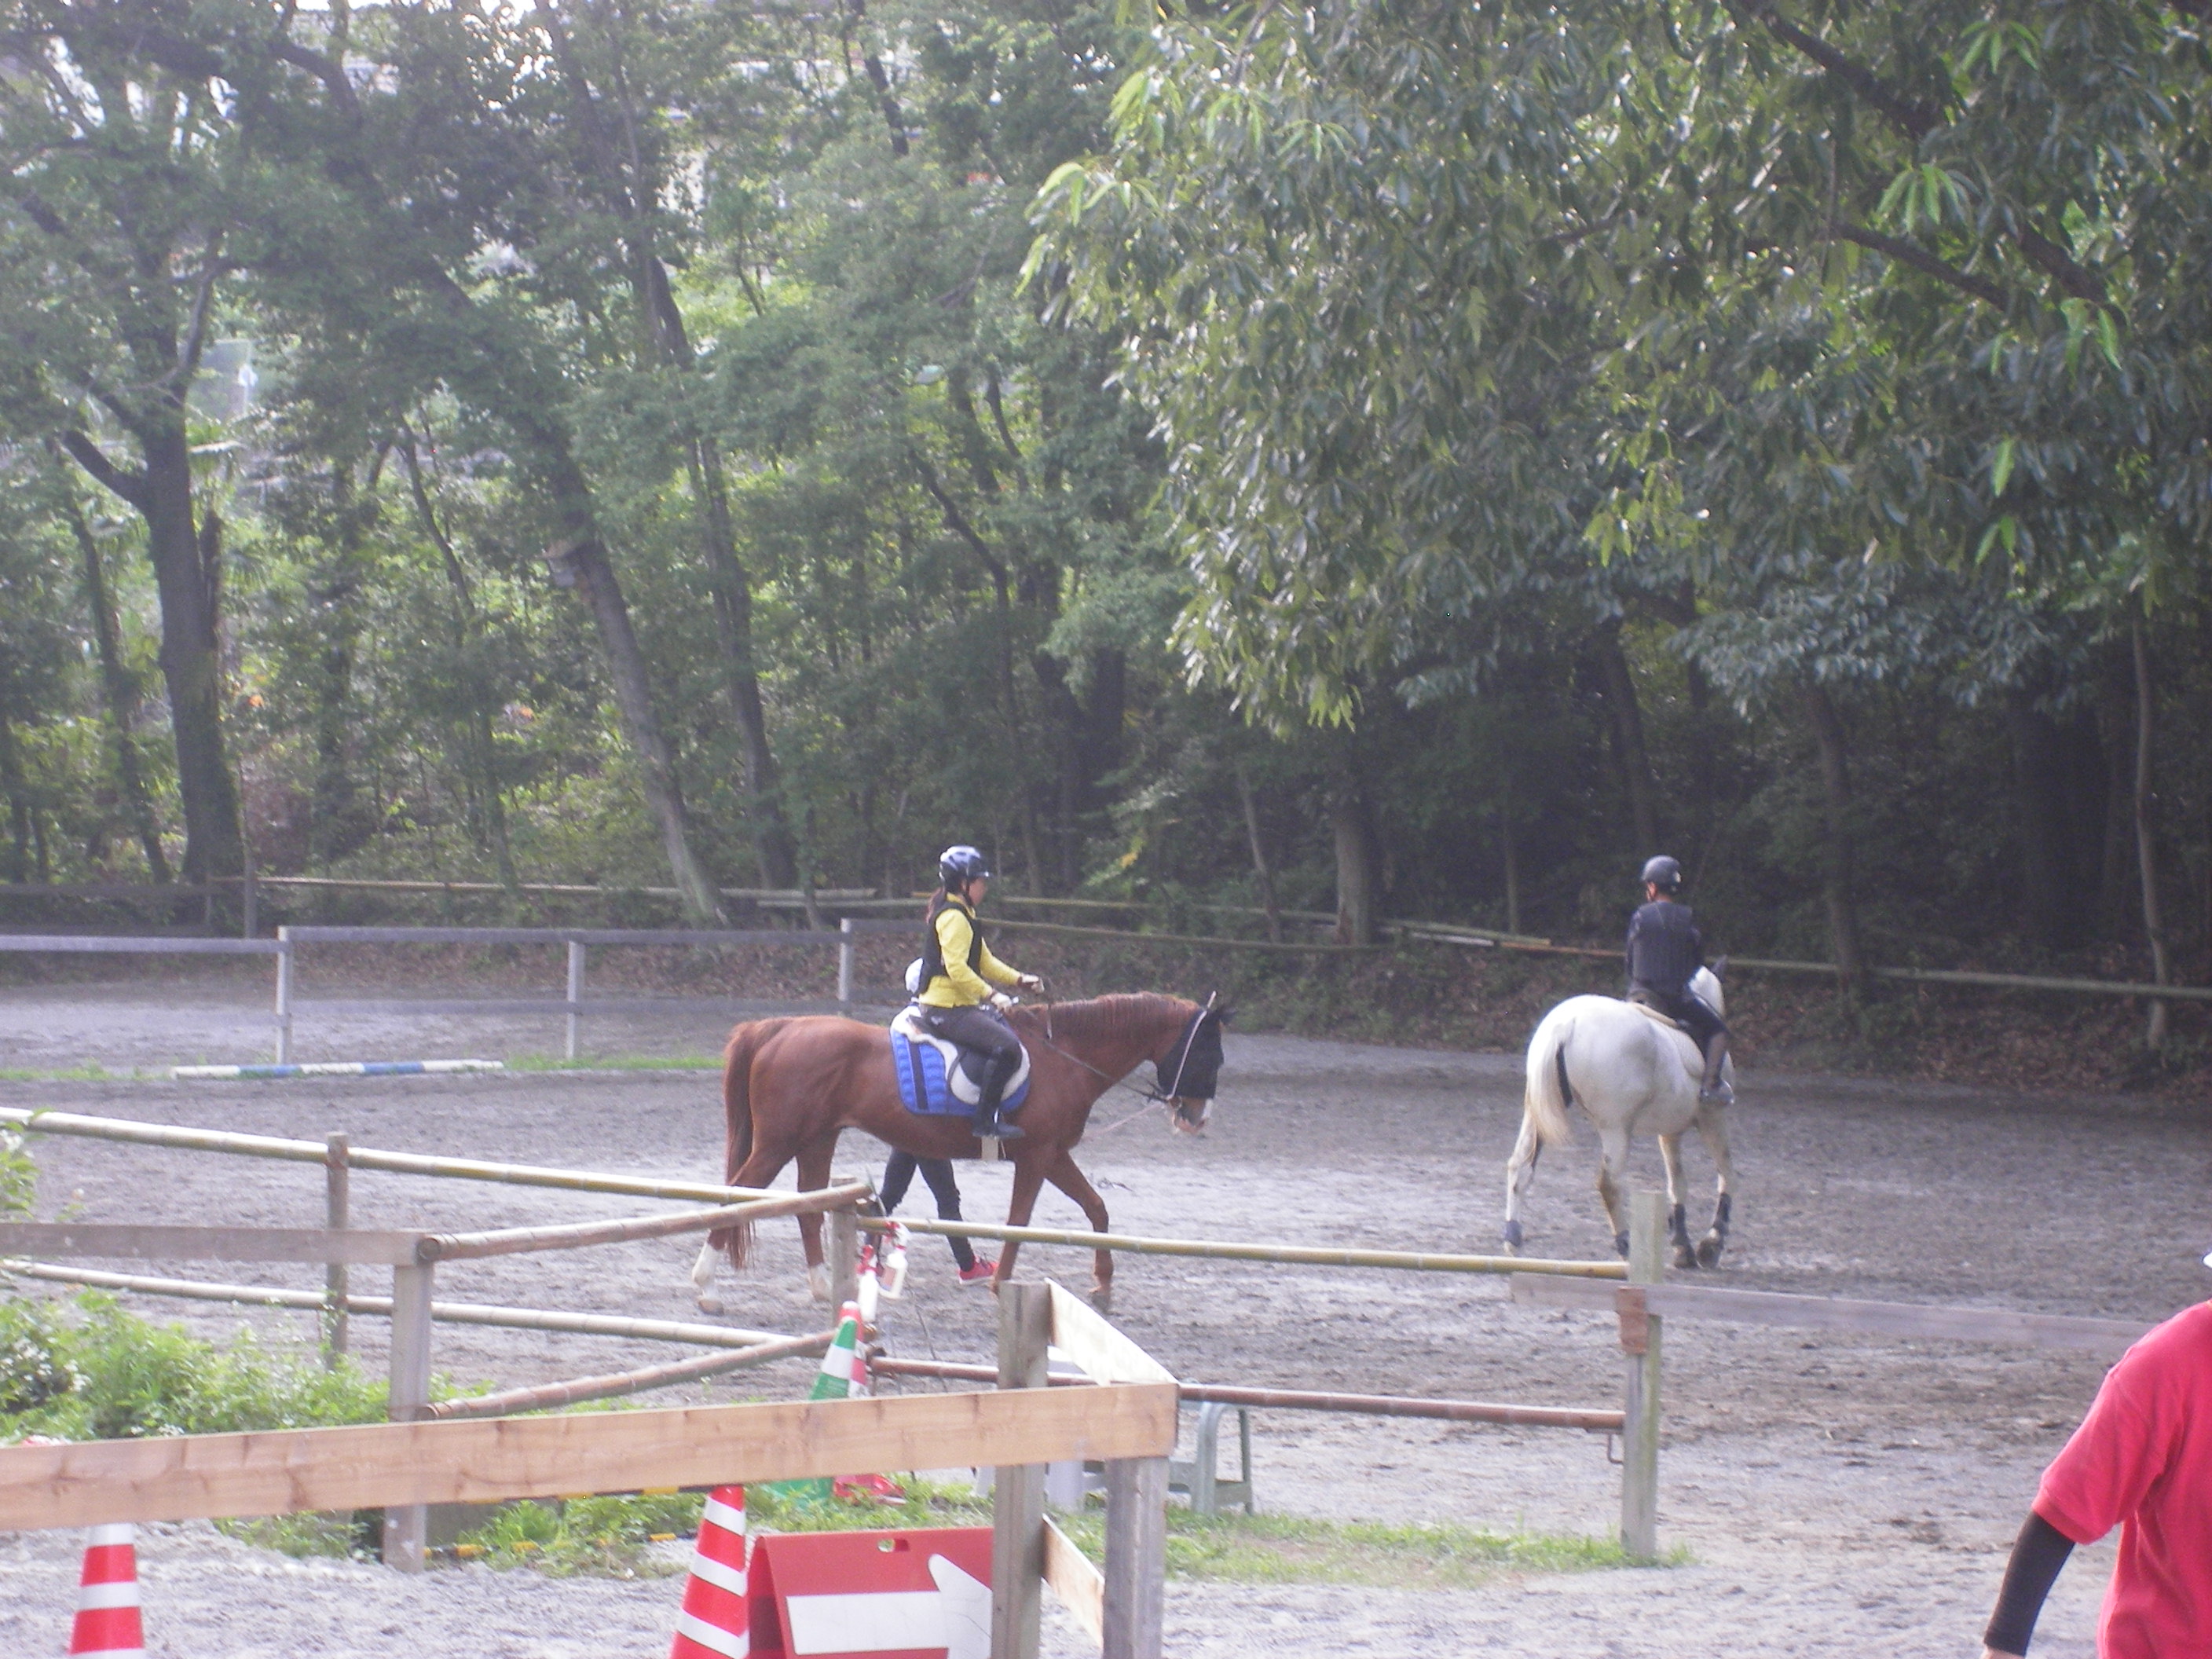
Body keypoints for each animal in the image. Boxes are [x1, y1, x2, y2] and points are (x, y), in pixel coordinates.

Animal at [688, 992, 1227, 1314]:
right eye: (1209, 1053)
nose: (1197, 1119)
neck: (1067, 1059)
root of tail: (779, 1027)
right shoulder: (1038, 1157)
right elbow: (1019, 1221)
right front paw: (1000, 1283)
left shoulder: (1053, 1155)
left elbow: (1096, 1208)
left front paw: (1103, 1285)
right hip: (780, 1141)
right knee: (737, 1195)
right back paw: (707, 1287)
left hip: (818, 1137)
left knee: (808, 1204)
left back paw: (823, 1288)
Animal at [1500, 964, 1737, 1270]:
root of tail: (1566, 1025)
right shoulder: (1712, 1118)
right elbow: (1727, 1174)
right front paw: (1712, 1244)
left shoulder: (1670, 1129)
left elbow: (1678, 1183)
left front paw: (1682, 1246)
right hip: (1616, 1127)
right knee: (1609, 1183)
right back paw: (1626, 1244)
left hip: (1538, 1111)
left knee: (1520, 1165)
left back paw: (1513, 1238)